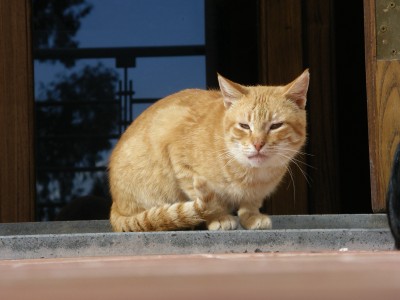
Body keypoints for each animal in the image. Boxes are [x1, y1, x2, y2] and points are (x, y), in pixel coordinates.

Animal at [108, 70, 310, 232]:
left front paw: (251, 217)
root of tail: (116, 204)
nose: (258, 144)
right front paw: (218, 217)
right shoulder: (180, 159)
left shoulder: (257, 193)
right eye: (244, 126)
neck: (252, 175)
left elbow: (251, 203)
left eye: (276, 126)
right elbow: (209, 202)